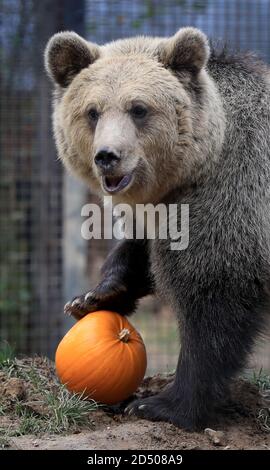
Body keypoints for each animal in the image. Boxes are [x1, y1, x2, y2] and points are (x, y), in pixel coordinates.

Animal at [44, 26, 270, 430]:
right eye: (92, 111)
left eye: (138, 108)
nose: (107, 157)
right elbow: (137, 251)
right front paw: (93, 296)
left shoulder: (231, 192)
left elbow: (212, 299)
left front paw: (162, 405)